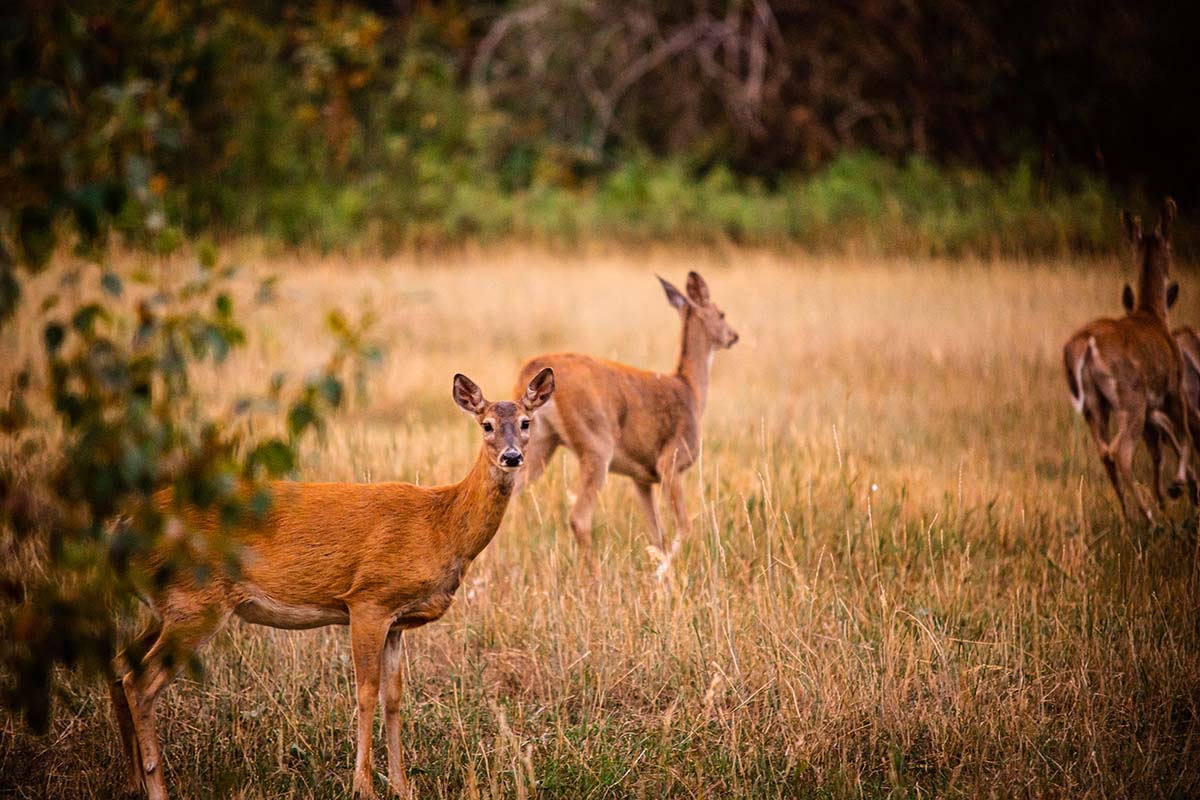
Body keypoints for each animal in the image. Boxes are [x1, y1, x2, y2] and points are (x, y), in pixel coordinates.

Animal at [110, 369, 554, 800]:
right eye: (487, 424)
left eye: (526, 422)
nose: (511, 456)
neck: (440, 525)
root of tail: (124, 527)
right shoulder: (369, 599)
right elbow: (366, 693)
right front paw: (363, 786)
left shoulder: (397, 620)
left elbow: (394, 697)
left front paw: (401, 786)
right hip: (196, 601)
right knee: (141, 682)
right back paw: (156, 787)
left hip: (169, 605)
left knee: (119, 665)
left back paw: (131, 782)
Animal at [513, 272, 734, 573]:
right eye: (721, 313)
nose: (733, 335)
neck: (691, 389)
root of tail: (532, 367)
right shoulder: (670, 461)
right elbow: (685, 527)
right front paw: (660, 574)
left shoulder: (641, 478)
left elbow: (658, 535)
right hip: (596, 444)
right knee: (579, 517)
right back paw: (596, 576)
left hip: (538, 443)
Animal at [1065, 199, 1195, 522]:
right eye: (1170, 247)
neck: (1153, 315)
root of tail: (1085, 342)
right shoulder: (1172, 389)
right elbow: (1184, 437)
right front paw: (1176, 488)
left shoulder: (1154, 409)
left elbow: (1161, 451)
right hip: (1130, 395)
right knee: (1120, 451)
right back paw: (1149, 517)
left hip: (1095, 404)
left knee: (1105, 452)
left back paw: (1130, 517)